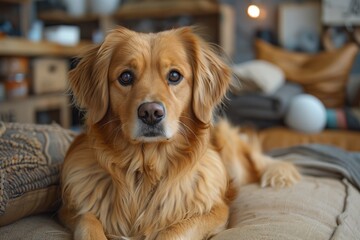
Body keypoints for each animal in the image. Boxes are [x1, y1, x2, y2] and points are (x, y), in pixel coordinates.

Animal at [59, 26, 300, 240]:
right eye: (125, 77)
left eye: (174, 75)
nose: (151, 113)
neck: (146, 170)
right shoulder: (71, 211)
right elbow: (88, 221)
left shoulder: (215, 210)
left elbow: (174, 230)